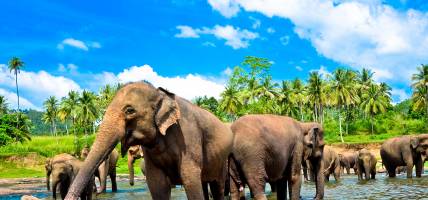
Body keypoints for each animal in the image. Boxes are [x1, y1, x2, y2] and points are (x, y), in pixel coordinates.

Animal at [66, 81, 234, 200]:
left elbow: (190, 178)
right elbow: (156, 184)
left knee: (217, 186)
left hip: (222, 160)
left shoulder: (189, 137)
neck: (160, 93)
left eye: (129, 110)